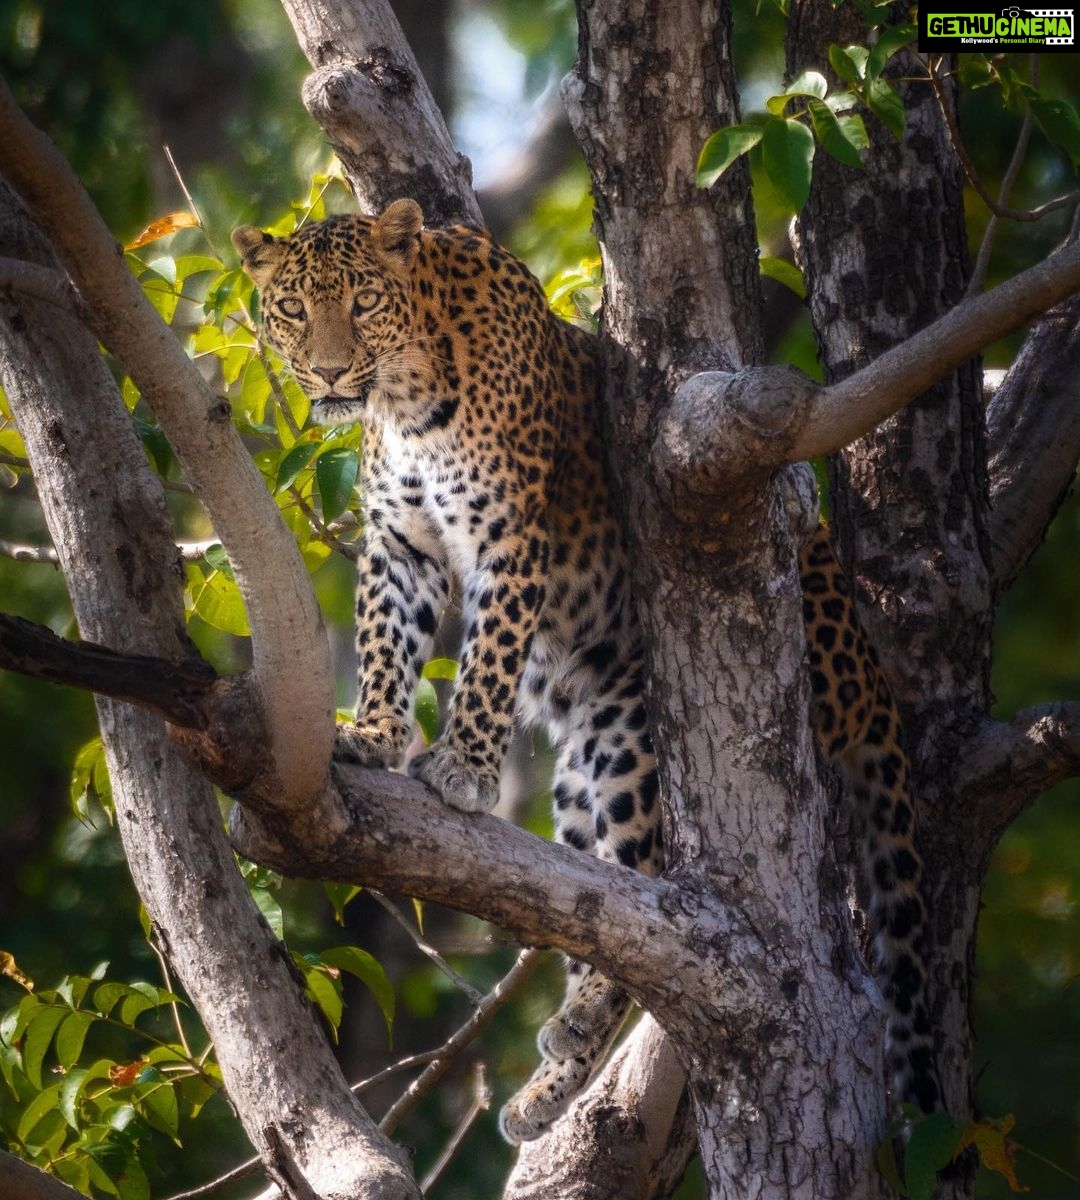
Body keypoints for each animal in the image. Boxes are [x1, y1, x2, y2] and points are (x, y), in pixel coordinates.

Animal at [232, 198, 941, 1143]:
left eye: (362, 302)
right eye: (291, 310)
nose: (330, 370)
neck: (407, 398)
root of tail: (869, 676)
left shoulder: (510, 538)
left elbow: (490, 660)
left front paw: (463, 766)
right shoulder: (398, 548)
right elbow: (384, 645)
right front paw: (375, 733)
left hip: (639, 735)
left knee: (654, 901)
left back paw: (578, 1027)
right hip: (581, 771)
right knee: (599, 902)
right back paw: (547, 1089)